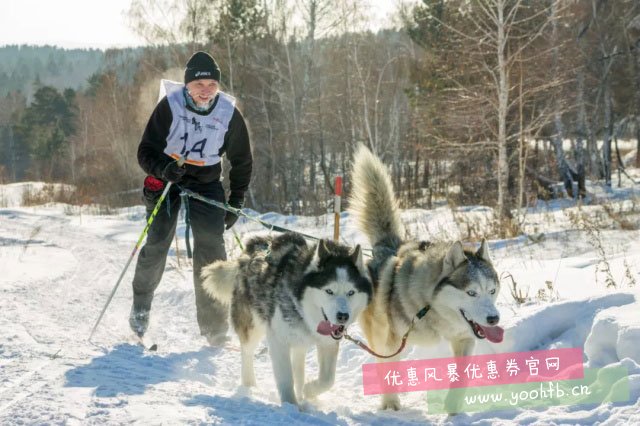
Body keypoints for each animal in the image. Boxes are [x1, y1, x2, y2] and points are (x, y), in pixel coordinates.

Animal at [200, 233, 370, 406]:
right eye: (329, 291)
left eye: (351, 292)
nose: (343, 316)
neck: (304, 313)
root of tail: (254, 245)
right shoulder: (278, 340)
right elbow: (286, 379)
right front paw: (291, 405)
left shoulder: (328, 343)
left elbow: (327, 380)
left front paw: (308, 391)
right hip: (253, 325)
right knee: (247, 352)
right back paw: (249, 386)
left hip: (297, 340)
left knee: (298, 363)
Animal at [348, 145, 502, 412]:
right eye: (471, 292)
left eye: (491, 291)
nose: (494, 319)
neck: (430, 309)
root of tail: (386, 247)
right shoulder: (392, 343)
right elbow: (389, 372)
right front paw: (391, 405)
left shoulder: (464, 339)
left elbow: (461, 377)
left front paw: (453, 407)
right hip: (379, 336)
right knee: (381, 364)